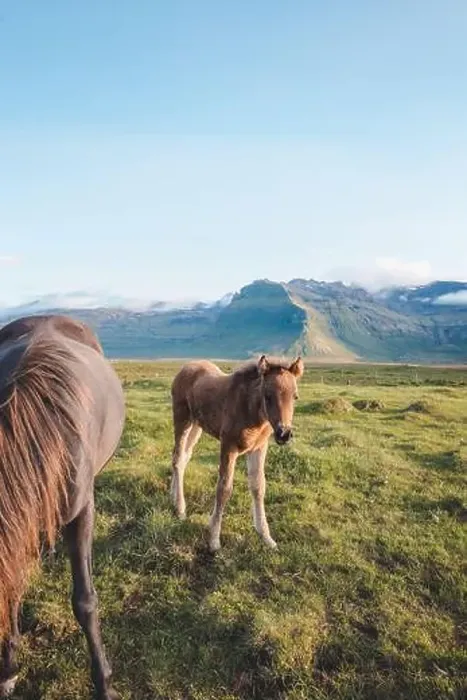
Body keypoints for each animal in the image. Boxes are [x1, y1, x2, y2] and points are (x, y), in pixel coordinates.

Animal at [170, 354, 304, 552]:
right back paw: (180, 508)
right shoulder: (228, 447)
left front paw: (266, 536)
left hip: (196, 426)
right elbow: (224, 489)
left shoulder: (259, 448)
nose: (284, 434)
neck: (250, 410)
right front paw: (214, 540)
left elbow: (258, 487)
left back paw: (173, 496)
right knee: (178, 458)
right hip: (182, 420)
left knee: (183, 457)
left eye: (295, 397)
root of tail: (184, 368)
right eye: (267, 396)